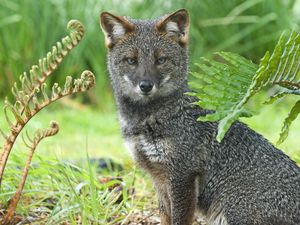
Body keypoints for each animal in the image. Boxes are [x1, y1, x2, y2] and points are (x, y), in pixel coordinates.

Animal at [100, 8, 300, 225]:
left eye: (160, 60)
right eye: (131, 61)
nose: (145, 85)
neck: (145, 121)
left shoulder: (182, 175)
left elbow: (179, 219)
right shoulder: (158, 178)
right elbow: (165, 217)